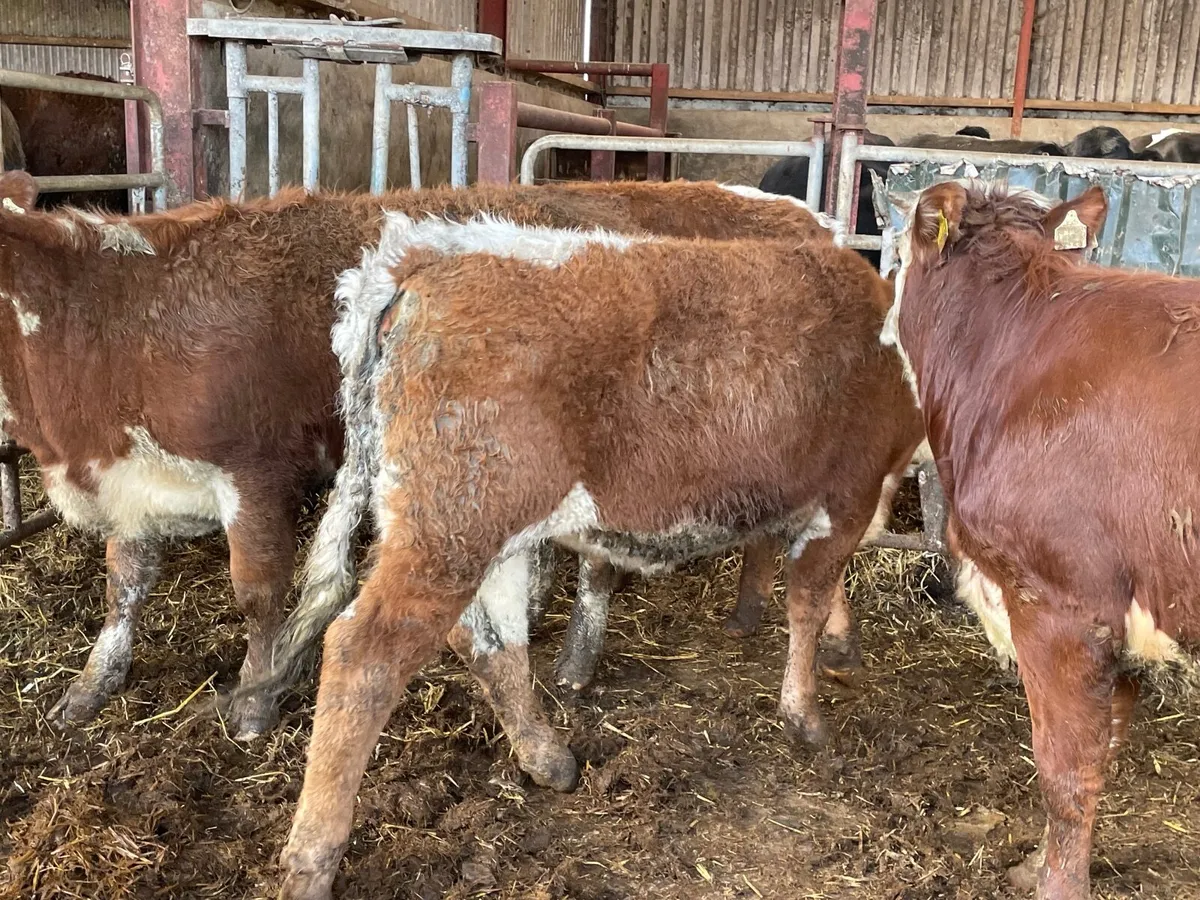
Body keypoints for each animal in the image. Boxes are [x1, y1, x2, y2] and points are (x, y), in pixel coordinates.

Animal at [0, 170, 848, 745]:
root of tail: (801, 214)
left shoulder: (256, 472)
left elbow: (258, 595)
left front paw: (255, 698)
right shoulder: (127, 485)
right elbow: (123, 588)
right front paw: (90, 687)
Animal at [246, 215, 924, 900]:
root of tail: (427, 254)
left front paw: (825, 640)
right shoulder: (847, 492)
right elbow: (810, 596)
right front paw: (806, 713)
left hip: (484, 535)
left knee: (491, 641)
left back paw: (547, 758)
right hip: (450, 528)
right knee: (365, 655)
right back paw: (313, 858)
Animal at [889, 180, 1200, 899]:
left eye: (894, 258)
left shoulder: (1060, 605)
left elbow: (1065, 768)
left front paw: (1056, 885)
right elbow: (1105, 748)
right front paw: (1039, 862)